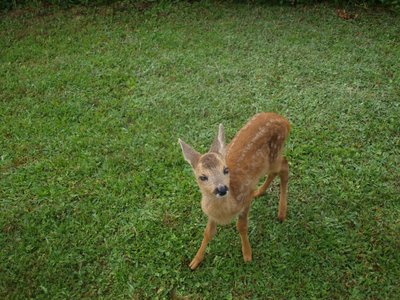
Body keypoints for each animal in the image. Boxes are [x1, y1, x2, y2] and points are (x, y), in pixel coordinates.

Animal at [179, 112, 290, 270]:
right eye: (202, 177)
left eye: (226, 169)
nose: (221, 189)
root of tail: (284, 120)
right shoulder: (211, 214)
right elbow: (208, 233)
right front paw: (195, 261)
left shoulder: (245, 198)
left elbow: (241, 226)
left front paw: (247, 254)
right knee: (278, 169)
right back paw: (259, 192)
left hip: (274, 154)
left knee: (285, 166)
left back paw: (281, 213)